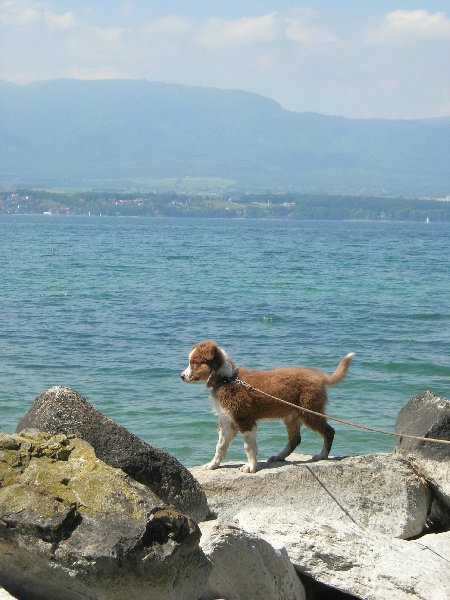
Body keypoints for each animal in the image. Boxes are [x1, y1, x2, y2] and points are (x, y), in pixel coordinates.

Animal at [181, 342, 354, 474]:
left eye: (194, 362)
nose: (181, 376)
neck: (226, 380)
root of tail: (319, 376)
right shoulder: (226, 421)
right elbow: (220, 446)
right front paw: (213, 465)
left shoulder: (245, 420)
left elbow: (248, 447)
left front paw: (250, 467)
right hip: (291, 415)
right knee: (295, 439)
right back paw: (279, 456)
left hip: (309, 411)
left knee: (329, 431)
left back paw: (321, 455)